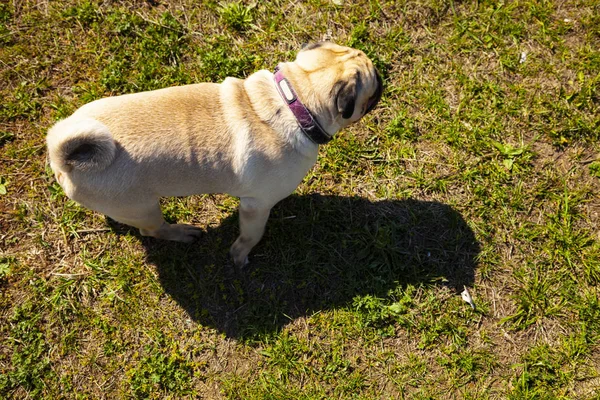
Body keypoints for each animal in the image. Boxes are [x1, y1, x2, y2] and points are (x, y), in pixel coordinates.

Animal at [48, 41, 384, 266]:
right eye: (372, 85)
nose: (383, 79)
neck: (295, 101)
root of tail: (62, 158)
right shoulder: (255, 205)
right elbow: (251, 235)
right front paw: (240, 255)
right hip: (143, 207)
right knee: (151, 229)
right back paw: (181, 233)